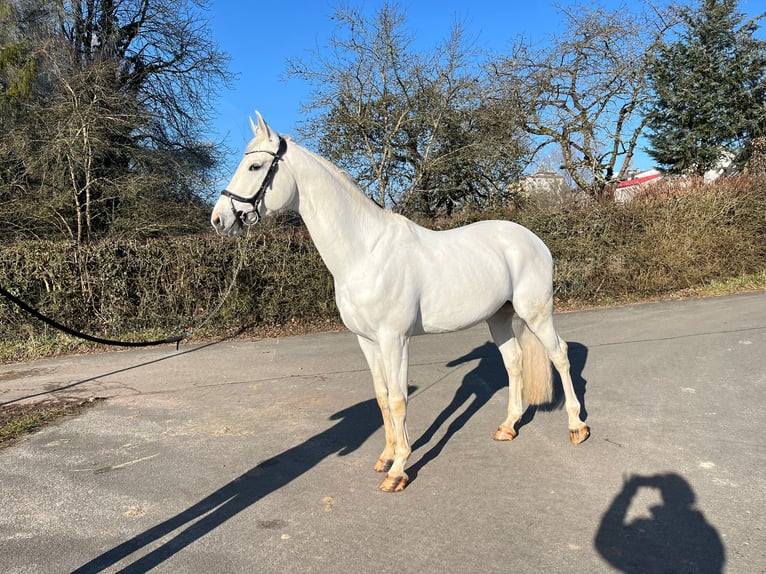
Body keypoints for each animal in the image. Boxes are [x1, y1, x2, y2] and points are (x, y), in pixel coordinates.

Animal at [213, 113, 592, 496]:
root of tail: (533, 240)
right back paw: (508, 426)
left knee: (559, 356)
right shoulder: (367, 341)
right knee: (513, 362)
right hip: (498, 317)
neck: (364, 252)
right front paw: (385, 457)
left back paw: (576, 426)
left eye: (255, 166)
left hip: (536, 314)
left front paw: (398, 471)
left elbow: (398, 399)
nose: (219, 219)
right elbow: (381, 397)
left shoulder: (394, 339)